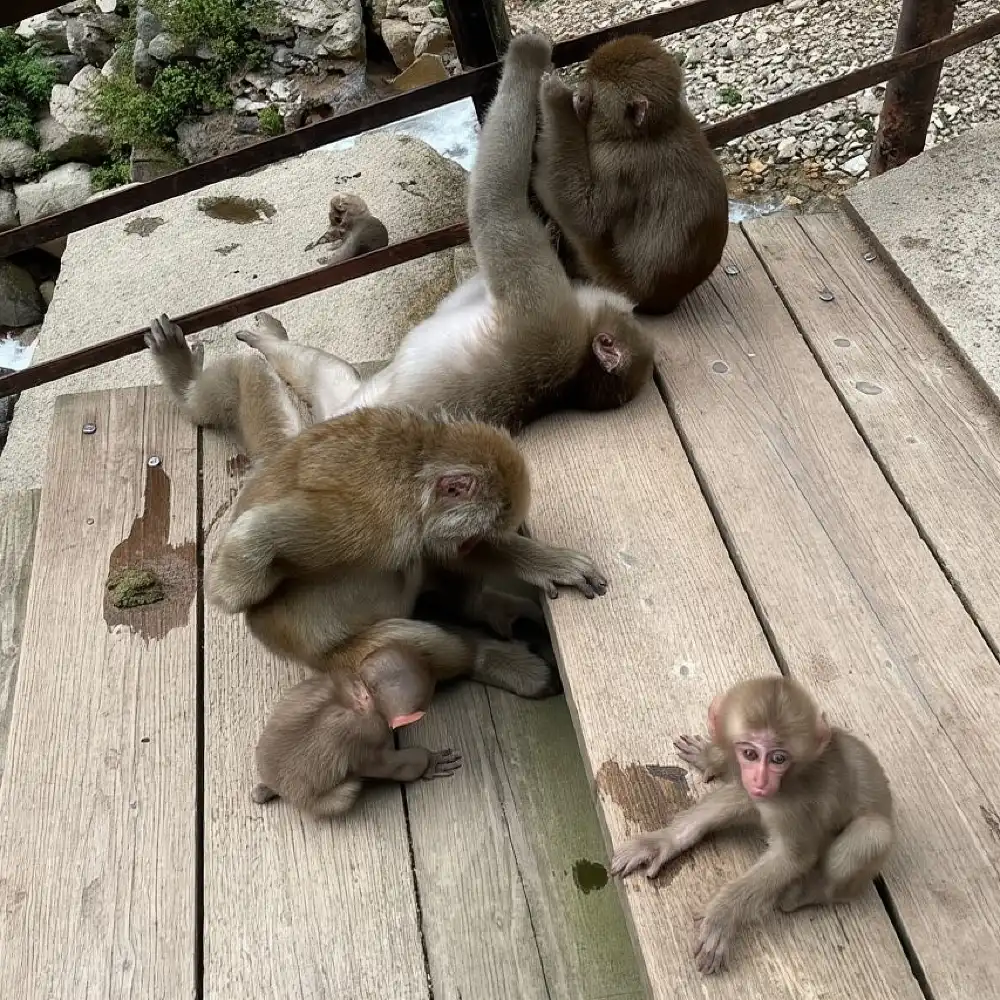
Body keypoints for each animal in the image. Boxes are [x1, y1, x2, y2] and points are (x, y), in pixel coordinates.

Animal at [146, 315, 605, 699]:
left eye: (476, 539)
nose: (468, 548)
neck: (412, 466)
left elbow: (439, 551)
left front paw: (541, 561)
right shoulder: (369, 520)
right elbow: (235, 576)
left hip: (288, 440)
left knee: (247, 375)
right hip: (341, 660)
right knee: (410, 639)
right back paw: (485, 657)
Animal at [233, 30, 656, 431]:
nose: (630, 308)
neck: (575, 367)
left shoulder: (543, 309)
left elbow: (493, 210)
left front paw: (527, 57)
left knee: (319, 368)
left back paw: (266, 341)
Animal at [532, 34, 729, 316]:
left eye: (591, 94)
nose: (579, 93)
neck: (646, 132)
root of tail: (662, 301)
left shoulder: (617, 164)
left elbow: (587, 217)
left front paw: (554, 97)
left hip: (607, 277)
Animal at [609, 676, 894, 975]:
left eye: (779, 758)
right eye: (750, 753)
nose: (761, 779)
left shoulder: (794, 803)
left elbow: (792, 857)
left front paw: (723, 913)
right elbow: (739, 798)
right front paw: (662, 842)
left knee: (873, 833)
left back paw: (806, 892)